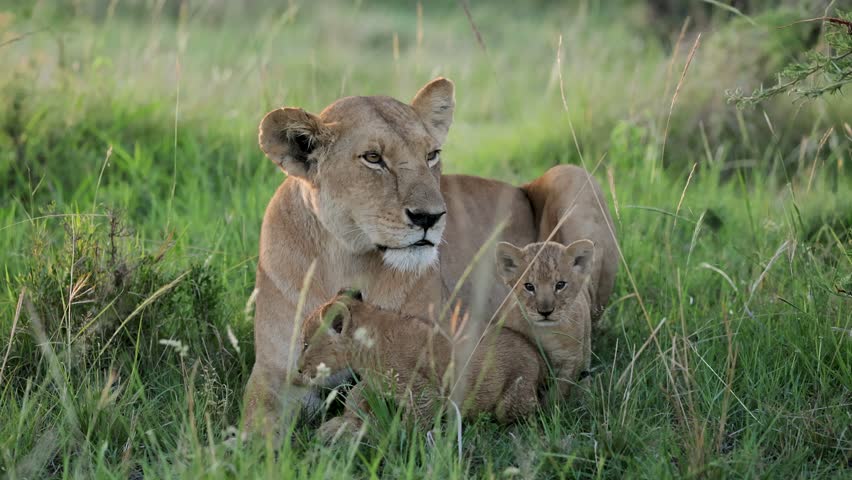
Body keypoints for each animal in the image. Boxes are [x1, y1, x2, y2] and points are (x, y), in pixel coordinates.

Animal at [297, 289, 544, 442]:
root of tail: (535, 351)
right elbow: (356, 393)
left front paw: (389, 439)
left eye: (306, 344)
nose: (298, 369)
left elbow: (409, 425)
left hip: (511, 400)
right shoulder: (377, 381)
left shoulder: (423, 393)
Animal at [495, 239, 596, 401]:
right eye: (529, 286)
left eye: (560, 285)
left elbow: (557, 393)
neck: (544, 331)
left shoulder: (569, 359)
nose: (545, 312)